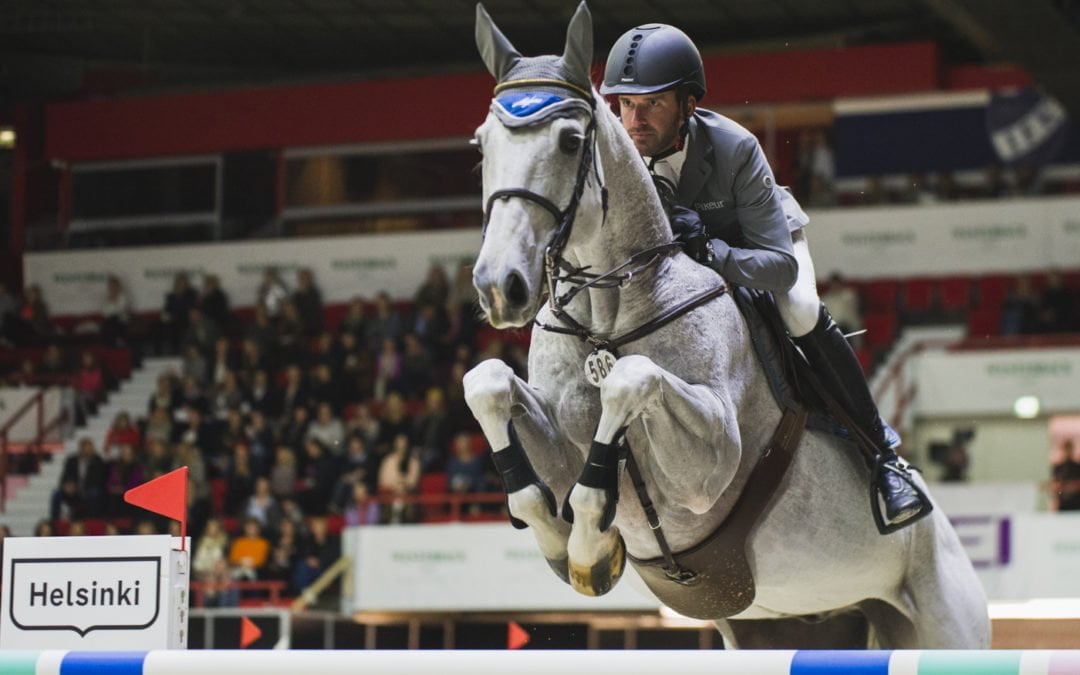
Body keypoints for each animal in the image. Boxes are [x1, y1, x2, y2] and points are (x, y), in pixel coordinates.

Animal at [463, 2, 989, 649]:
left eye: (569, 141)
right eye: (483, 143)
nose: (499, 285)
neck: (604, 318)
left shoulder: (709, 464)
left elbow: (631, 379)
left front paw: (590, 546)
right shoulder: (556, 448)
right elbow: (488, 386)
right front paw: (576, 551)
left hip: (946, 621)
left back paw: (897, 487)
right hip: (793, 628)